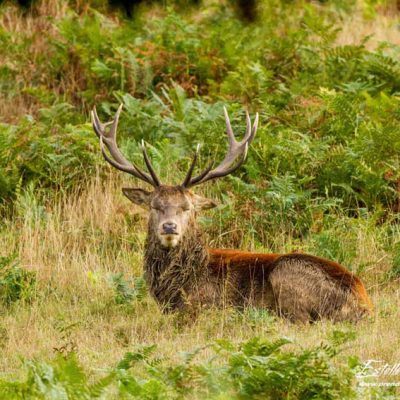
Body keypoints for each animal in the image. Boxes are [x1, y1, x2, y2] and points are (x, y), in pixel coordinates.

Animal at [90, 105, 372, 322]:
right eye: (154, 206)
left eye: (187, 207)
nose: (169, 227)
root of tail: (363, 304)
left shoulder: (203, 306)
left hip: (287, 273)